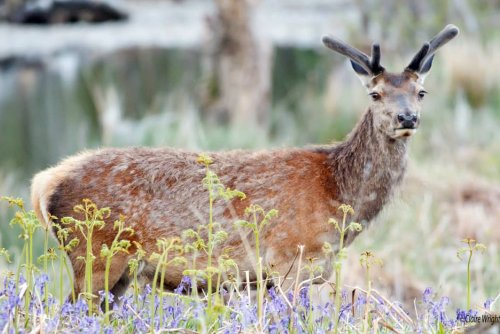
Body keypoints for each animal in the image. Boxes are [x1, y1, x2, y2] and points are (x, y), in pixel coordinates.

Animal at [31, 25, 458, 302]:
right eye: (375, 93)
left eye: (421, 91)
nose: (407, 118)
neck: (337, 194)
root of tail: (45, 182)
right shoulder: (289, 261)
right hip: (94, 256)